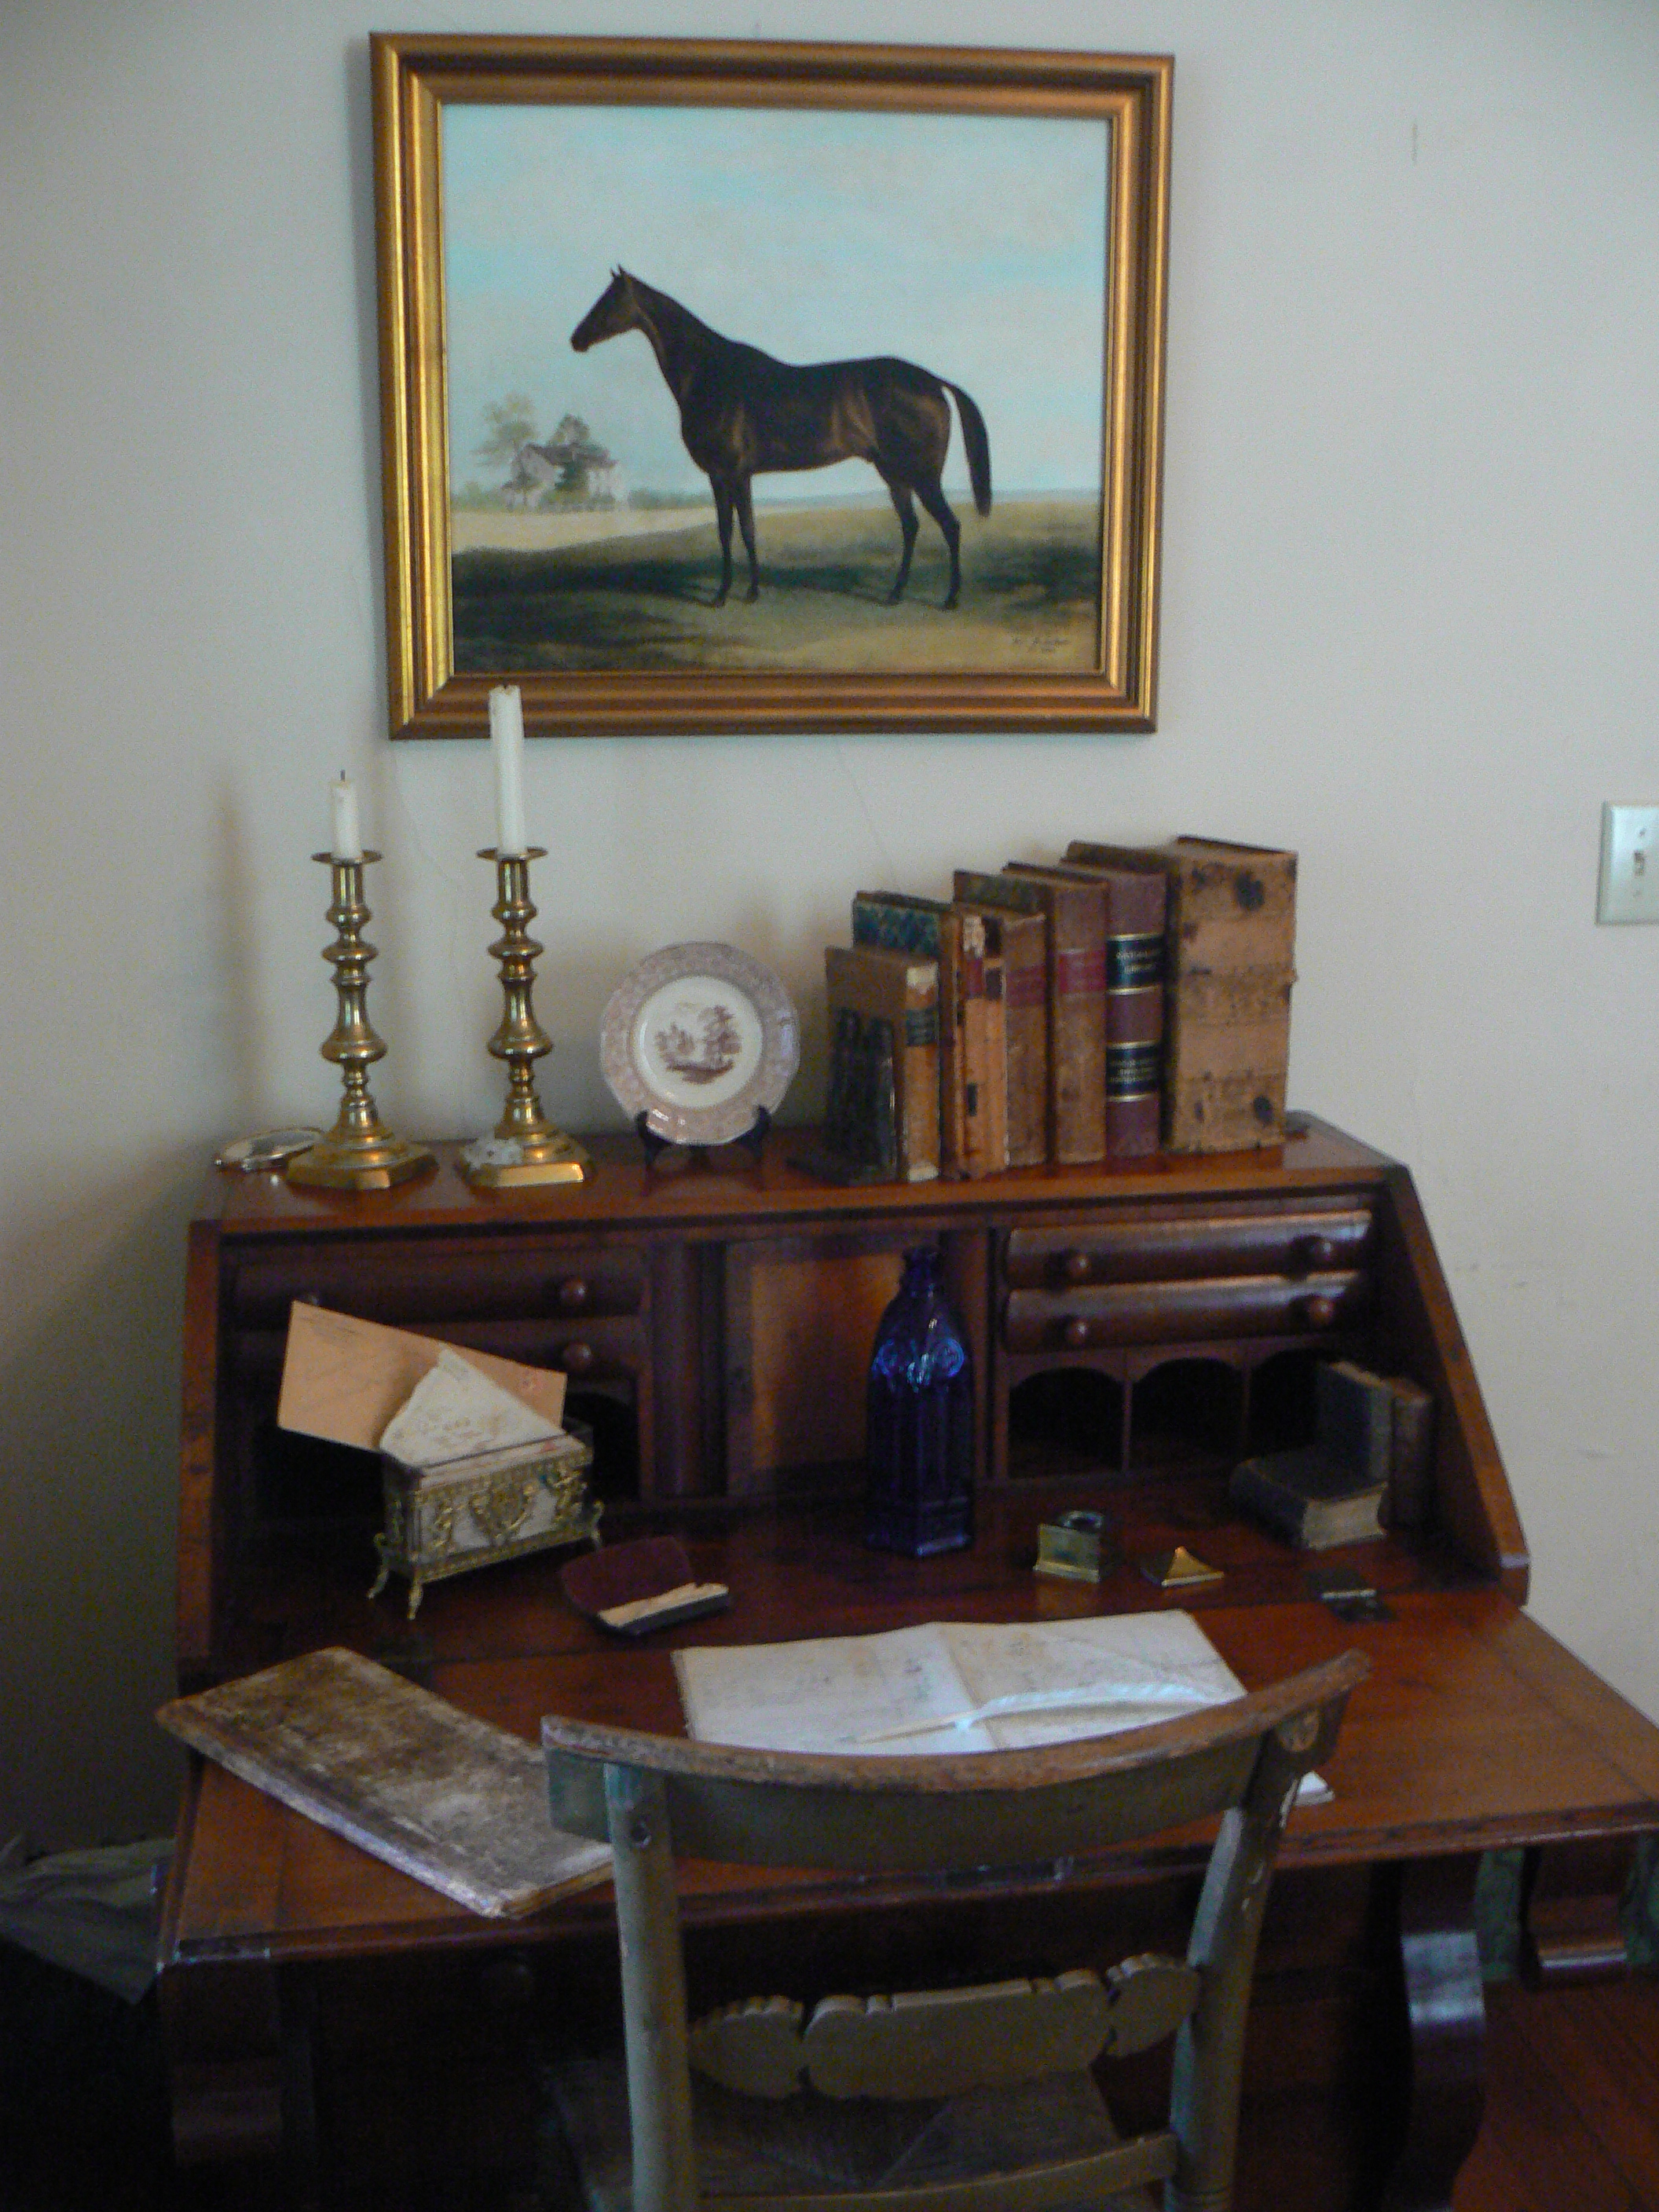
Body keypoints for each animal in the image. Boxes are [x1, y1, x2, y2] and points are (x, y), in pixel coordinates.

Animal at [575, 270, 986, 610]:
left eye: (609, 300)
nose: (576, 338)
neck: (711, 374)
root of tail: (932, 381)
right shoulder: (724, 476)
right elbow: (732, 531)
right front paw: (737, 590)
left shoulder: (732, 472)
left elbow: (742, 530)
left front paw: (736, 593)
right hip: (894, 473)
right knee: (911, 527)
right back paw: (895, 593)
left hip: (922, 475)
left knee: (950, 526)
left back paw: (950, 598)